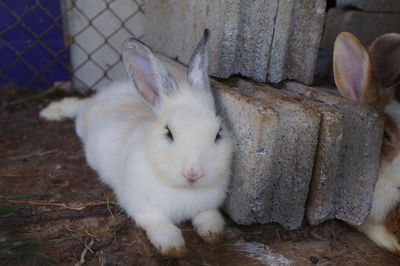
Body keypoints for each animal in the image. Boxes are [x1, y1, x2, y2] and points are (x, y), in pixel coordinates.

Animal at [39, 30, 233, 256]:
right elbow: (158, 224)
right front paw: (173, 247)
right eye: (169, 132)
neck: (182, 189)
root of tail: (102, 96)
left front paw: (213, 235)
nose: (193, 174)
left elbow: (208, 217)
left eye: (218, 134)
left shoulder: (208, 205)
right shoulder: (143, 207)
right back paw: (54, 111)